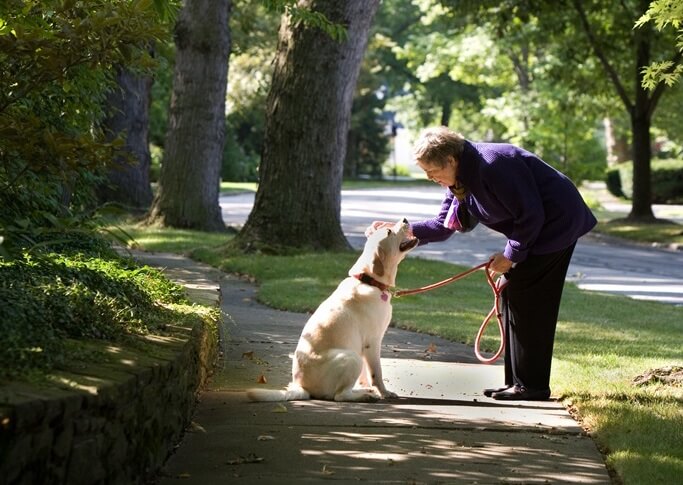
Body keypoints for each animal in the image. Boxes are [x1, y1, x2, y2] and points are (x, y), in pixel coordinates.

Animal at [246, 219, 416, 400]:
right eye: (389, 232)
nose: (405, 220)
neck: (369, 281)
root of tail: (301, 387)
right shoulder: (372, 342)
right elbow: (376, 373)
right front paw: (384, 392)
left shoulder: (363, 346)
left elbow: (365, 375)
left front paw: (367, 387)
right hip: (351, 357)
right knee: (340, 396)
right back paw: (365, 396)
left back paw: (363, 392)